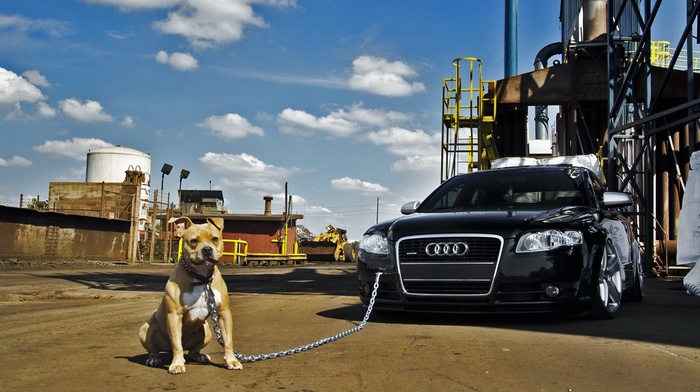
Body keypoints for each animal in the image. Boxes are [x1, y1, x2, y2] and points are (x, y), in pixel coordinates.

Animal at [139, 217, 243, 374]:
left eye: (215, 239)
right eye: (194, 241)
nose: (207, 249)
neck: (201, 278)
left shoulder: (223, 313)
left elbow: (228, 341)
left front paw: (232, 361)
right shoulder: (174, 315)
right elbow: (176, 344)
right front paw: (176, 364)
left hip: (207, 331)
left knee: (193, 351)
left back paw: (200, 356)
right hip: (145, 329)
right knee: (155, 349)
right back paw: (154, 359)